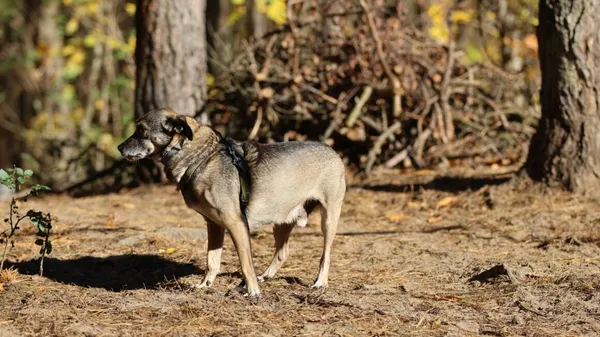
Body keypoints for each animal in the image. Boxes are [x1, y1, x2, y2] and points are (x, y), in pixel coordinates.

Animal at [116, 107, 346, 294]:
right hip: (281, 221)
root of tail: (332, 151)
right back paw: (266, 276)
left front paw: (252, 291)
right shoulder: (214, 225)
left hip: (328, 219)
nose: (119, 148)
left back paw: (319, 283)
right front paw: (205, 286)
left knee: (325, 254)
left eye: (141, 130)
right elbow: (212, 261)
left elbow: (245, 263)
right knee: (283, 252)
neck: (201, 157)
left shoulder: (237, 224)